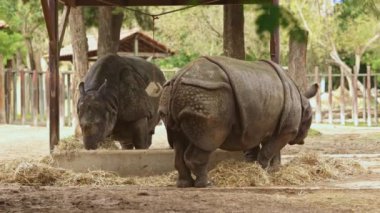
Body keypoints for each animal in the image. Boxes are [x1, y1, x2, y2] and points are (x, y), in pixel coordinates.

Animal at [159, 55, 320, 187]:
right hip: (207, 94)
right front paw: (263, 171)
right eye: (309, 117)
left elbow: (256, 148)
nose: (302, 140)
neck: (301, 100)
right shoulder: (287, 130)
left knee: (178, 140)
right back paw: (207, 184)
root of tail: (178, 77)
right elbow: (269, 150)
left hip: (177, 94)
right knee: (208, 140)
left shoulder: (254, 127)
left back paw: (184, 184)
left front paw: (258, 169)